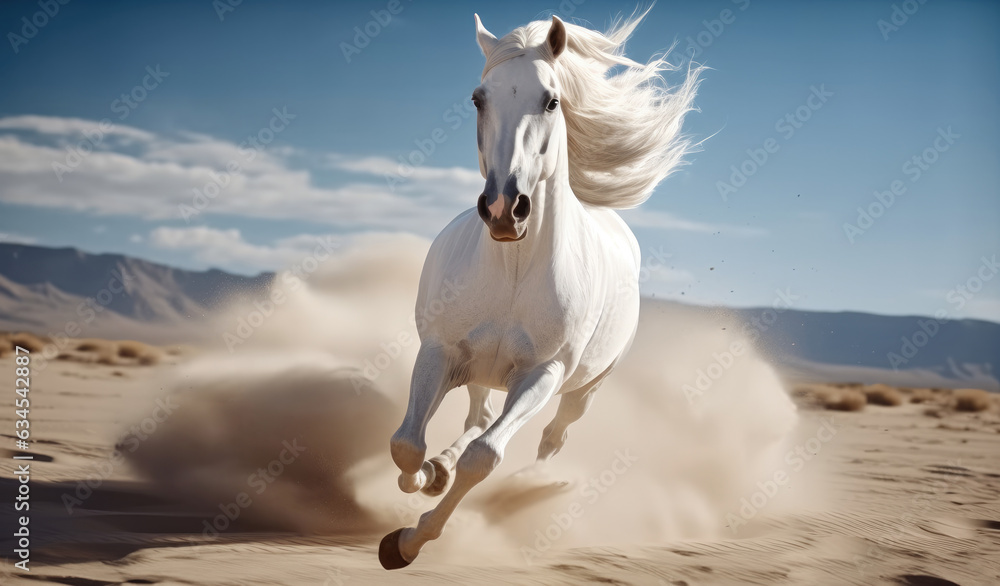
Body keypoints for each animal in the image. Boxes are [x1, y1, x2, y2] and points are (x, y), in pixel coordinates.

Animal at [380, 9, 701, 569]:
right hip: (478, 371)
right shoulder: (440, 350)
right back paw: (440, 468)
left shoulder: (541, 374)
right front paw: (424, 478)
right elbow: (407, 445)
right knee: (478, 415)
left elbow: (484, 457)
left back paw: (533, 476)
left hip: (584, 387)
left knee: (552, 434)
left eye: (551, 100)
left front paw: (408, 541)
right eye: (478, 98)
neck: (513, 271)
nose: (504, 209)